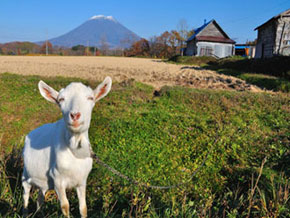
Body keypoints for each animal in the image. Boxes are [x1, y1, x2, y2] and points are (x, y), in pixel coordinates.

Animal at [21, 77, 111, 217]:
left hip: (43, 181)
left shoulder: (82, 180)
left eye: (90, 98)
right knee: (25, 194)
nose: (75, 115)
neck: (75, 150)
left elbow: (83, 207)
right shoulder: (57, 179)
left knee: (40, 197)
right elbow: (65, 206)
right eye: (61, 99)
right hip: (25, 174)